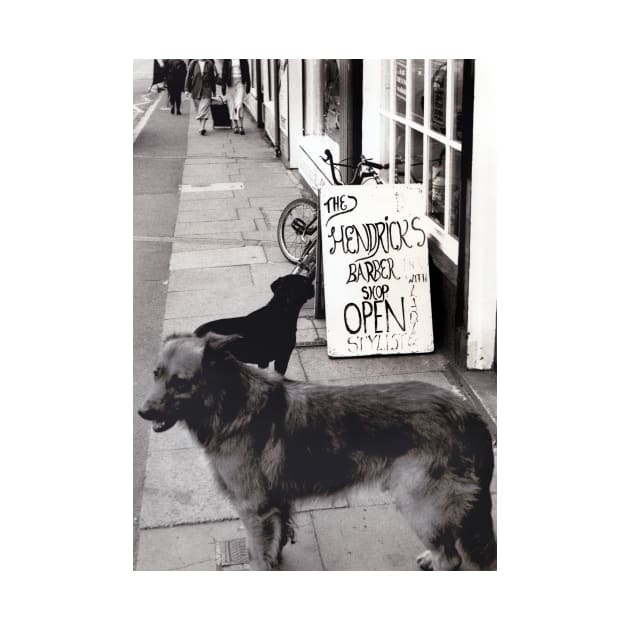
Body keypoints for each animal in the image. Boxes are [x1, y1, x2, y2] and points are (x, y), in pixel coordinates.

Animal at [139, 336, 498, 572]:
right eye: (156, 374)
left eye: (180, 382)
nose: (142, 412)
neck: (230, 403)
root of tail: (468, 414)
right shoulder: (276, 504)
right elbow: (277, 541)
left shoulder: (253, 510)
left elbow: (257, 557)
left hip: (417, 501)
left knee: (451, 558)